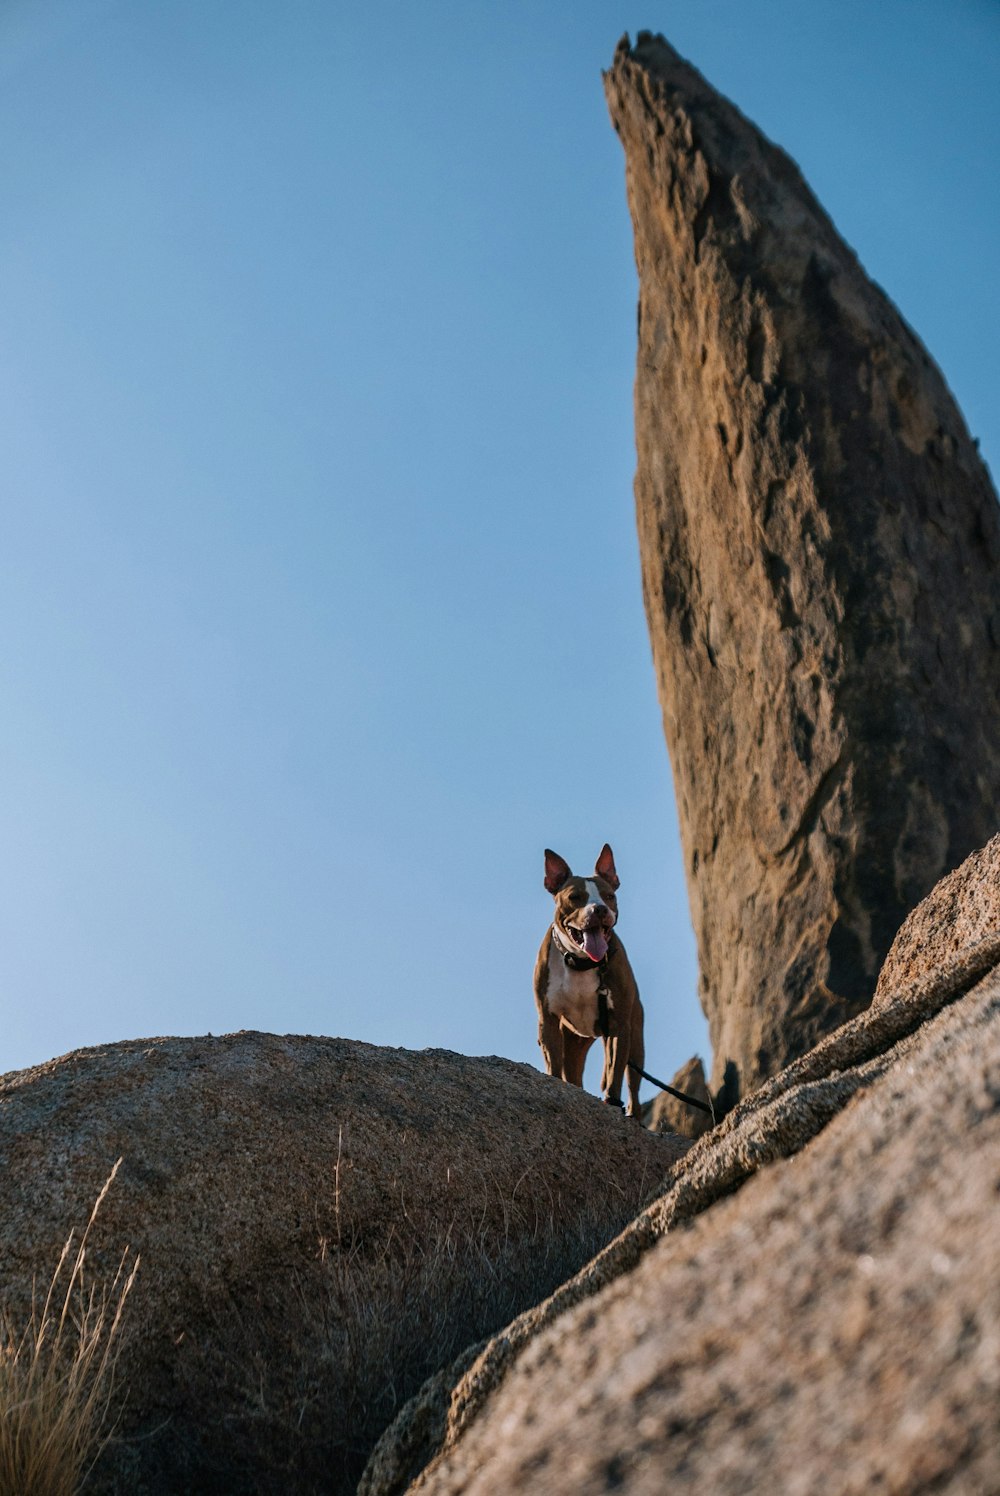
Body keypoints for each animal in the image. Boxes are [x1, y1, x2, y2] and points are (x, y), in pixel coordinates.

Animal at [535, 849, 643, 1119]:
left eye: (609, 896)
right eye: (575, 897)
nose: (600, 909)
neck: (580, 962)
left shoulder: (619, 1026)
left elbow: (614, 1073)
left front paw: (612, 1104)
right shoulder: (548, 1020)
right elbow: (554, 1065)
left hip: (636, 1039)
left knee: (633, 1084)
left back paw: (634, 1116)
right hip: (573, 1042)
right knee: (572, 1074)